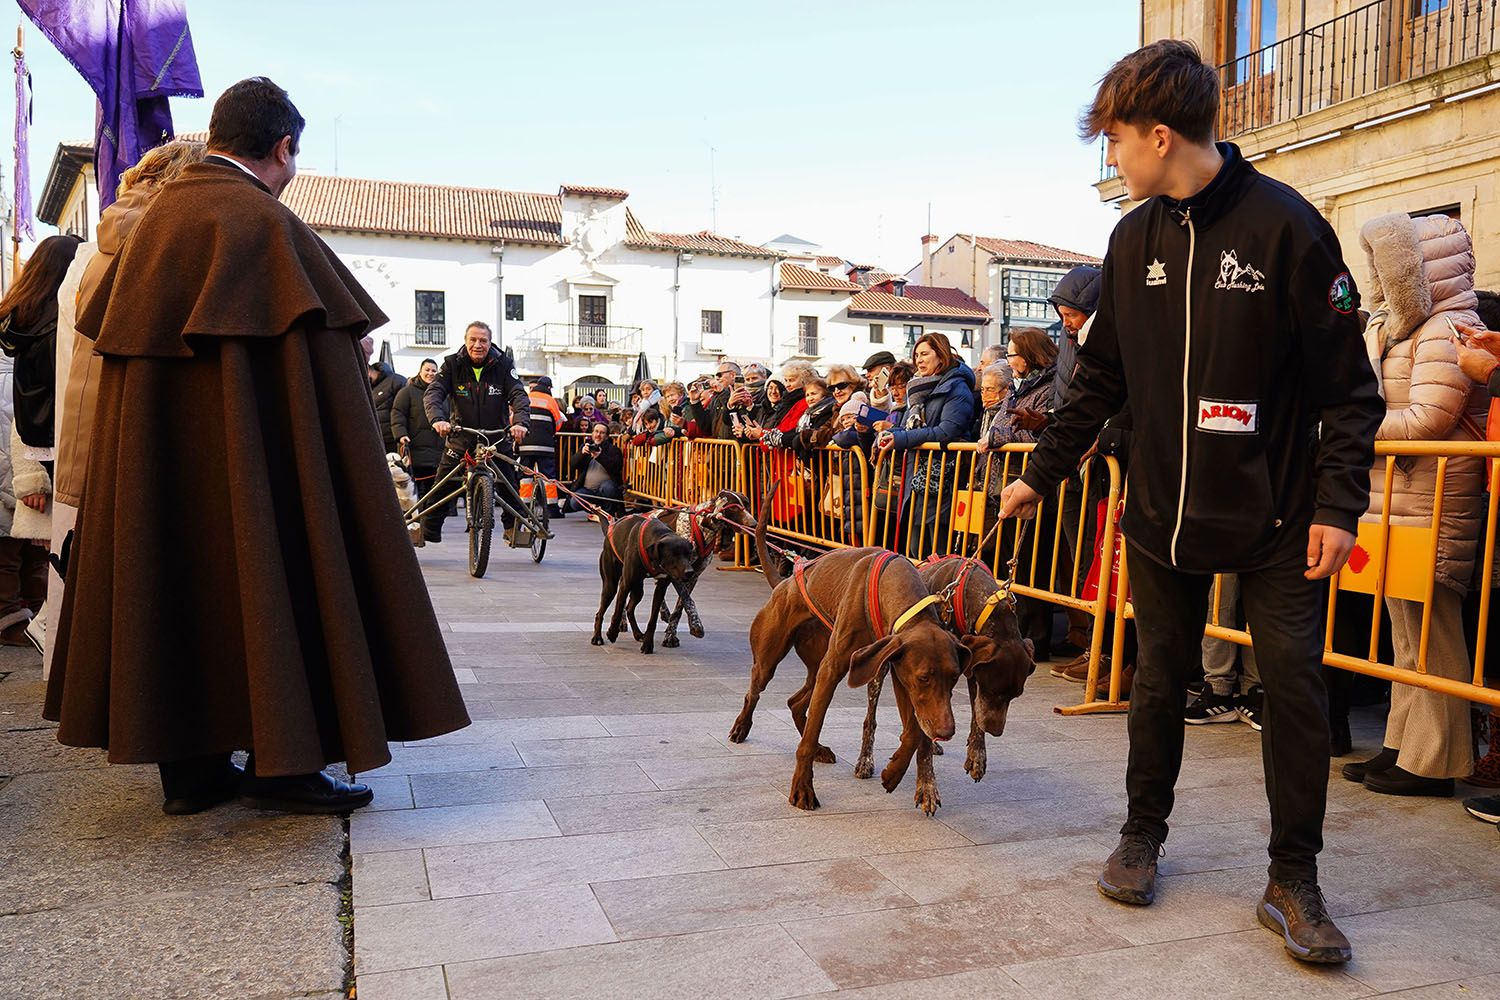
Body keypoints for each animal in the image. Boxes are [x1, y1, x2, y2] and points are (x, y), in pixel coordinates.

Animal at [591, 515, 696, 656]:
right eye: (673, 555)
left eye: (688, 554)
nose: (690, 572)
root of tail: (610, 529)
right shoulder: (625, 584)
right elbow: (617, 612)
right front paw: (612, 633)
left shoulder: (661, 587)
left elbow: (653, 619)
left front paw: (648, 644)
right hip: (610, 585)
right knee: (600, 612)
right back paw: (597, 637)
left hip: (638, 590)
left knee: (629, 609)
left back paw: (638, 634)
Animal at [729, 488, 972, 815]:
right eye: (924, 678)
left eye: (955, 677)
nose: (947, 731)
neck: (888, 585)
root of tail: (783, 582)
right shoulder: (842, 670)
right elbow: (811, 734)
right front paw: (802, 789)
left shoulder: (898, 670)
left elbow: (913, 731)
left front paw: (896, 774)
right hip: (772, 658)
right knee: (755, 692)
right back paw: (742, 727)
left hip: (816, 663)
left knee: (795, 702)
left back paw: (820, 748)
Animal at [852, 554, 1038, 791]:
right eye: (993, 691)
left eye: (1016, 696)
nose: (996, 732)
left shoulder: (969, 671)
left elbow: (974, 714)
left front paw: (977, 755)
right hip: (880, 665)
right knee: (871, 718)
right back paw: (865, 760)